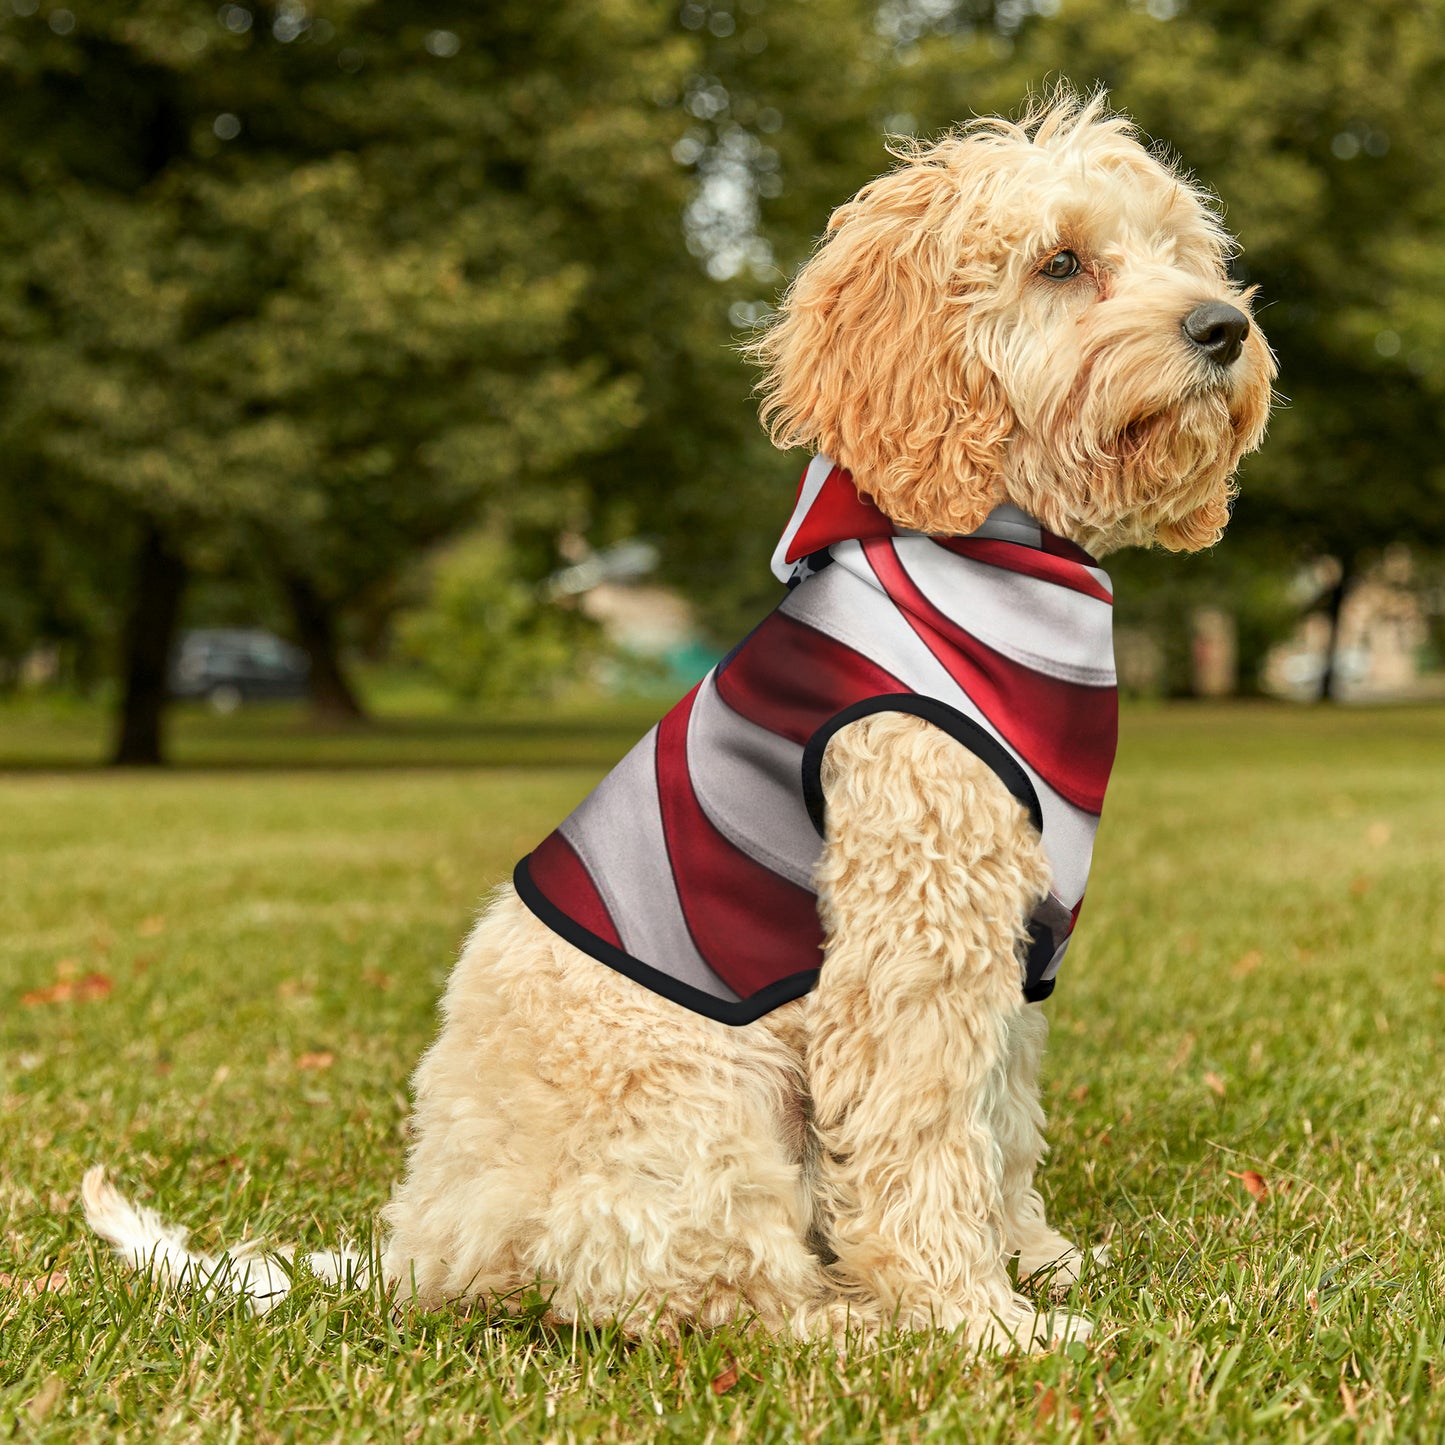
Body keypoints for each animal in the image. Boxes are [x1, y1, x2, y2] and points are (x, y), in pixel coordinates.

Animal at [84, 93, 1271, 1352]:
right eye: (1059, 262)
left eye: (1180, 252)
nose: (1222, 327)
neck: (993, 556)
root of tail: (424, 1246)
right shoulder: (912, 937)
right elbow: (923, 1137)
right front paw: (974, 1317)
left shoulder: (1005, 942)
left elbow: (998, 1121)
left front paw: (1034, 1259)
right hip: (703, 1098)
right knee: (698, 1291)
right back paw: (851, 1322)